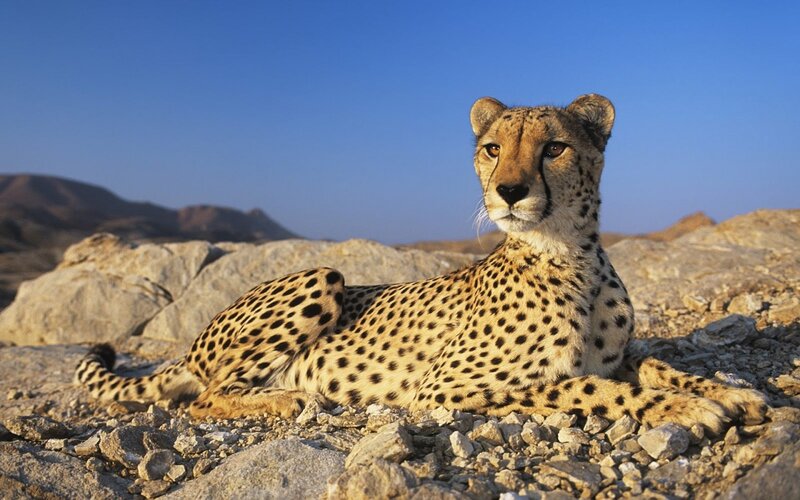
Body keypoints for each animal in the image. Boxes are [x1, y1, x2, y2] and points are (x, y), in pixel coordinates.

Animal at [76, 94, 768, 433]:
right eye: (491, 148)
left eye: (554, 148)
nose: (509, 191)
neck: (570, 254)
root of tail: (194, 342)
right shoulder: (445, 388)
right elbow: (587, 386)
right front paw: (686, 410)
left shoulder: (618, 352)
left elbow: (657, 365)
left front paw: (731, 393)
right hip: (322, 276)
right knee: (203, 397)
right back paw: (284, 400)